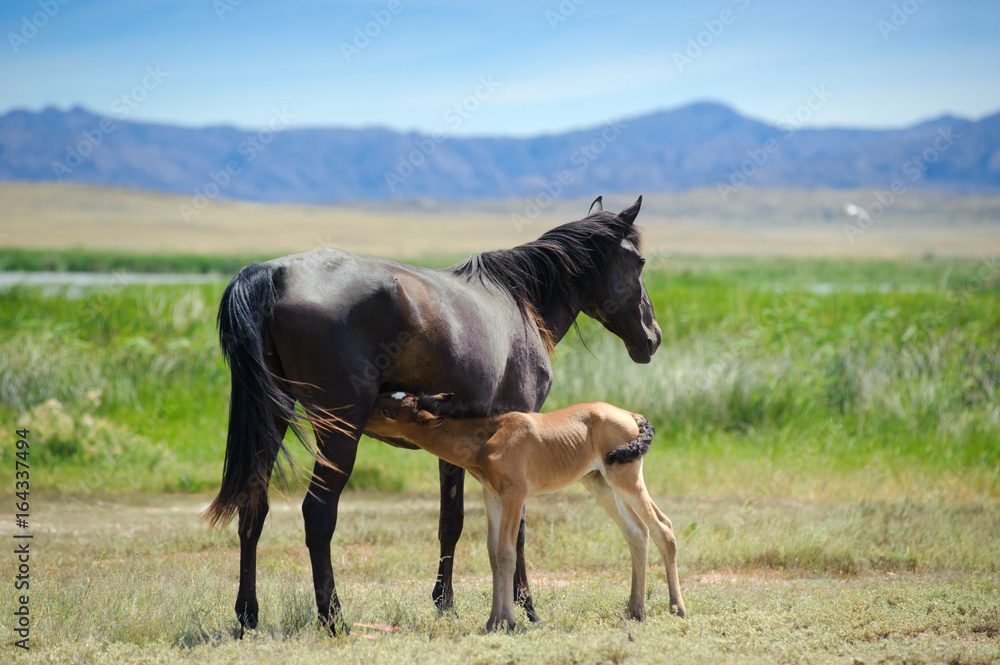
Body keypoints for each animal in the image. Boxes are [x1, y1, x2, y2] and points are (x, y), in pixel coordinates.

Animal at [368, 392, 688, 632]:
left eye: (386, 410)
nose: (361, 420)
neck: (491, 433)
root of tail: (632, 415)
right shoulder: (493, 497)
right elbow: (493, 554)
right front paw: (493, 622)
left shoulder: (515, 495)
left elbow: (507, 553)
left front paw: (508, 622)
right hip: (599, 482)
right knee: (637, 532)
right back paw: (636, 611)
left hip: (626, 479)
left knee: (662, 526)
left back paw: (677, 608)